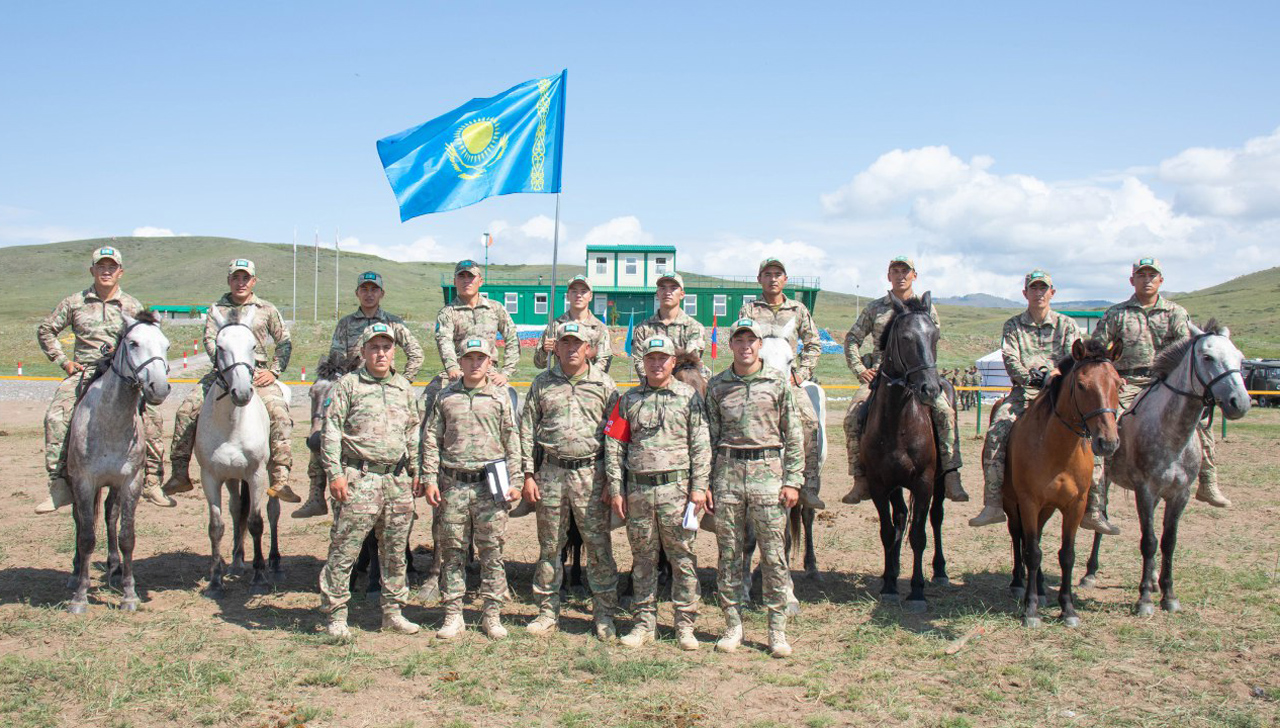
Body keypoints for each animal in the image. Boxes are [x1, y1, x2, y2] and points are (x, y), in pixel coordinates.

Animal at [65, 309, 171, 611]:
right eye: (133, 343)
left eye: (166, 345)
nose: (159, 387)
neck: (110, 423)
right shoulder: (84, 481)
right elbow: (87, 537)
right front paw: (80, 597)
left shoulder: (130, 482)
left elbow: (126, 537)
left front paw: (129, 594)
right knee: (79, 519)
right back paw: (76, 571)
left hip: (112, 484)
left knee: (110, 516)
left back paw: (113, 567)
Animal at [197, 307, 282, 596]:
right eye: (220, 347)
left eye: (253, 345)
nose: (243, 392)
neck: (232, 425)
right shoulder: (210, 476)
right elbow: (216, 527)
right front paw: (215, 579)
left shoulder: (256, 474)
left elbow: (256, 522)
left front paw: (259, 575)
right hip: (233, 477)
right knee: (236, 510)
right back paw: (236, 560)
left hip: (270, 470)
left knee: (273, 509)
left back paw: (273, 561)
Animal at [860, 292, 952, 611]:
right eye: (906, 337)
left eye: (935, 336)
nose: (930, 389)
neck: (898, 422)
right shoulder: (879, 484)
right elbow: (888, 532)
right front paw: (889, 584)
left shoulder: (923, 482)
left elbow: (919, 535)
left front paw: (917, 590)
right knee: (900, 516)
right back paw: (894, 568)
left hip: (939, 480)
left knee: (936, 517)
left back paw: (940, 571)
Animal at [998, 337, 1121, 626]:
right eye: (1082, 385)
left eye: (1118, 383)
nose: (1108, 442)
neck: (1057, 450)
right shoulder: (1028, 502)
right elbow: (1032, 552)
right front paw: (1030, 609)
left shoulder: (1074, 505)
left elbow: (1066, 555)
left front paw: (1068, 608)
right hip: (1012, 503)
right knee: (1019, 536)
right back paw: (1019, 583)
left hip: (1047, 508)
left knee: (1037, 537)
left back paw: (1042, 587)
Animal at [1080, 321, 1249, 616]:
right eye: (1207, 357)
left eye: (1240, 358)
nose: (1239, 402)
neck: (1171, 434)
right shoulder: (1144, 491)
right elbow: (1148, 541)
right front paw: (1145, 599)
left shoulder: (1179, 495)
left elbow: (1168, 541)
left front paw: (1167, 594)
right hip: (1109, 480)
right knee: (1102, 516)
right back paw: (1091, 572)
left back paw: (1153, 578)